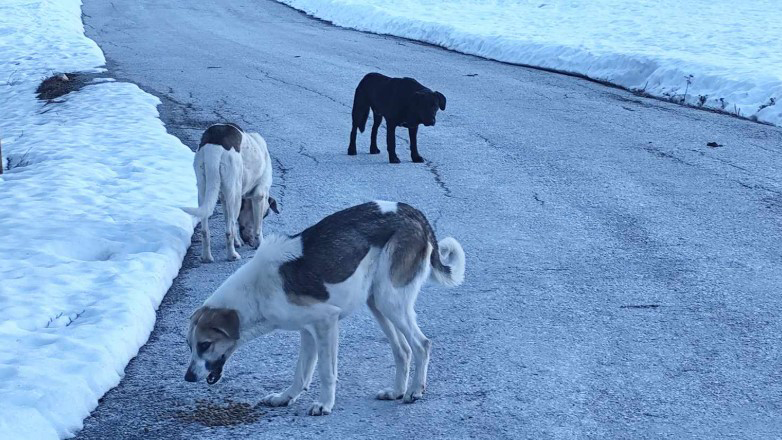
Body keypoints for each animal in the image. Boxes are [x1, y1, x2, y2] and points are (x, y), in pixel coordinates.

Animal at [182, 122, 280, 262]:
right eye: (266, 215)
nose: (248, 241)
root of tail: (215, 144)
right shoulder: (260, 195)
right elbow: (257, 228)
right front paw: (259, 244)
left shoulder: (224, 198)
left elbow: (231, 221)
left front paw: (238, 242)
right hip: (235, 193)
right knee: (229, 232)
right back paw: (232, 255)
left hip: (203, 189)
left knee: (206, 230)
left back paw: (206, 257)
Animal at [184, 202, 466, 416]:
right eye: (190, 346)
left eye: (205, 345)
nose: (187, 377)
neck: (255, 292)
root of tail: (413, 212)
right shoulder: (308, 331)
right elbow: (300, 372)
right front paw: (286, 397)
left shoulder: (326, 322)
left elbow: (325, 372)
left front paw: (324, 404)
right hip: (376, 302)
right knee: (404, 350)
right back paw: (396, 391)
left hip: (390, 301)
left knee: (422, 345)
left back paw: (415, 391)